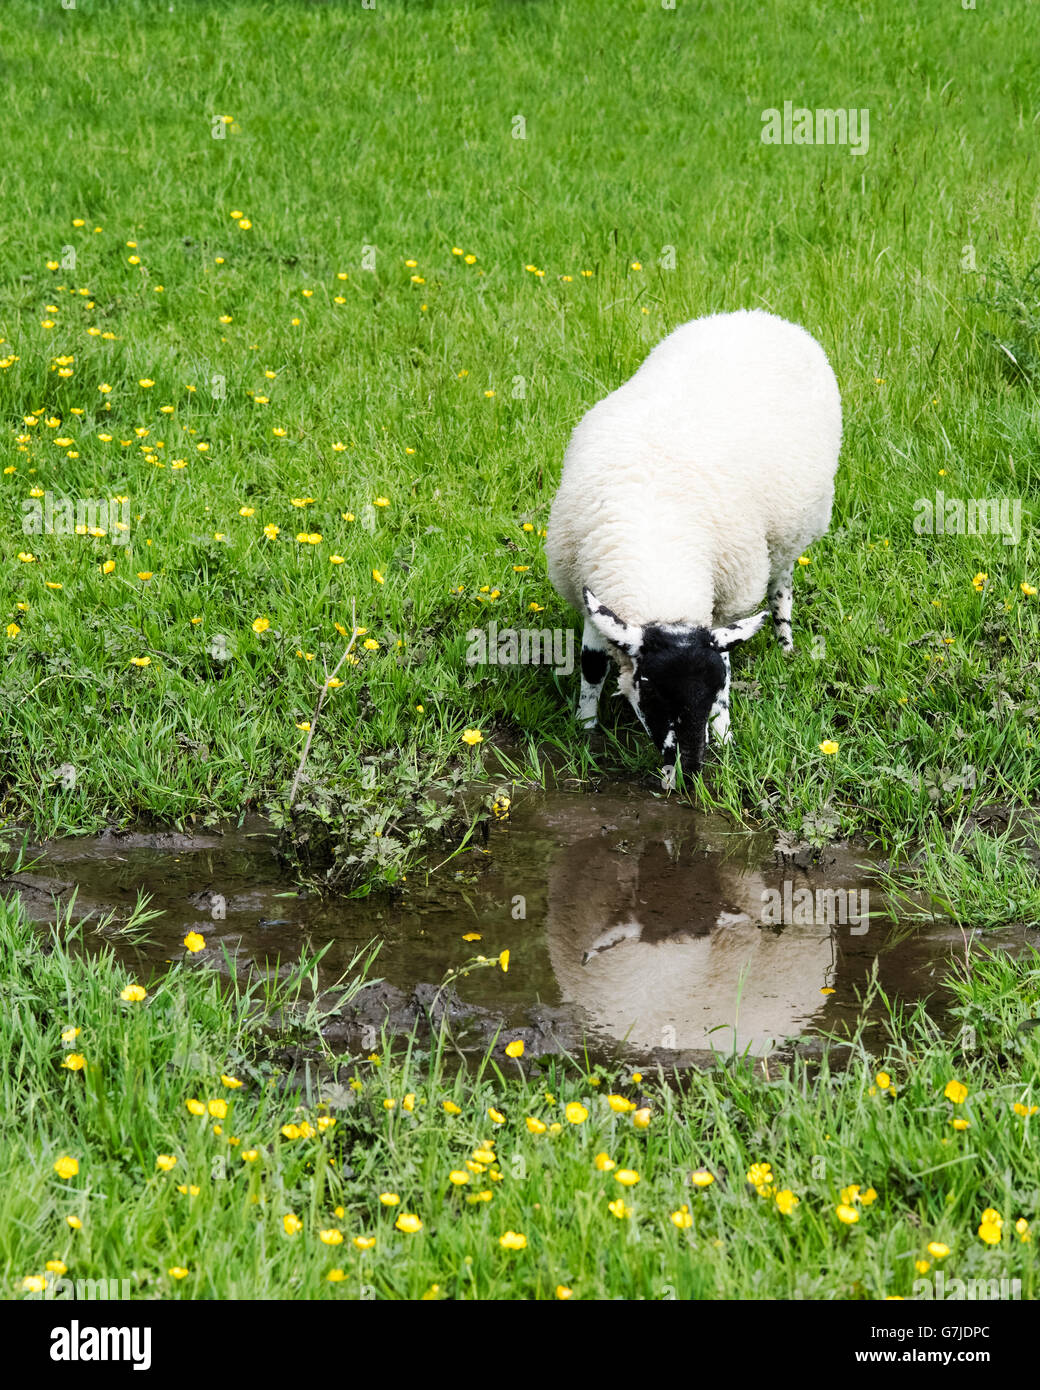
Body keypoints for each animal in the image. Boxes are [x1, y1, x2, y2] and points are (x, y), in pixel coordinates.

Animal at [547, 307, 839, 783]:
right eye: (649, 688)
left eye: (712, 690)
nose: (690, 767)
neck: (657, 561)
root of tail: (754, 314)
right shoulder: (591, 588)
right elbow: (592, 665)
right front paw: (585, 725)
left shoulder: (725, 606)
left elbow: (728, 665)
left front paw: (724, 734)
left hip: (790, 534)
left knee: (781, 587)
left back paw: (785, 643)